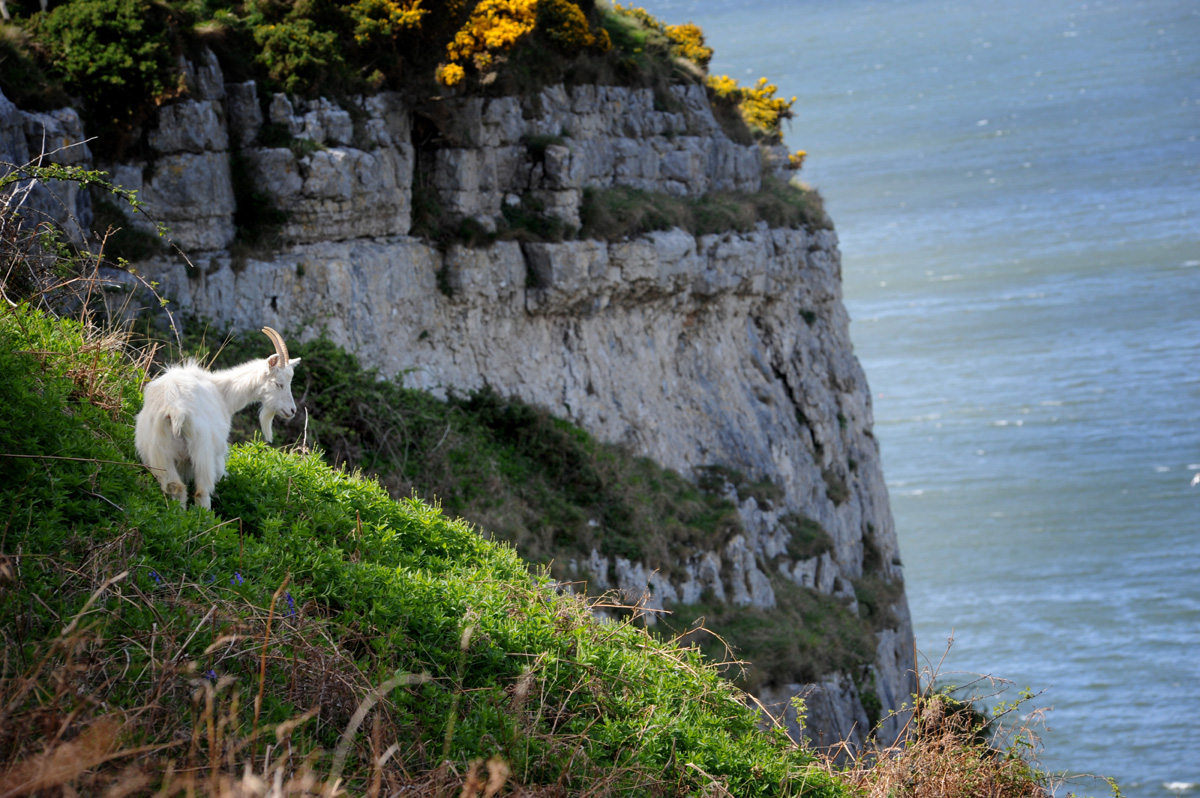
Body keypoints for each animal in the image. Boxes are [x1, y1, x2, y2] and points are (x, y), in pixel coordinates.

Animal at [135, 327, 302, 510]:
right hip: (202, 451)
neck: (222, 392)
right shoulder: (219, 450)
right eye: (279, 384)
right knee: (202, 491)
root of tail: (175, 410)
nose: (292, 410)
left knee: (176, 487)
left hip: (158, 452)